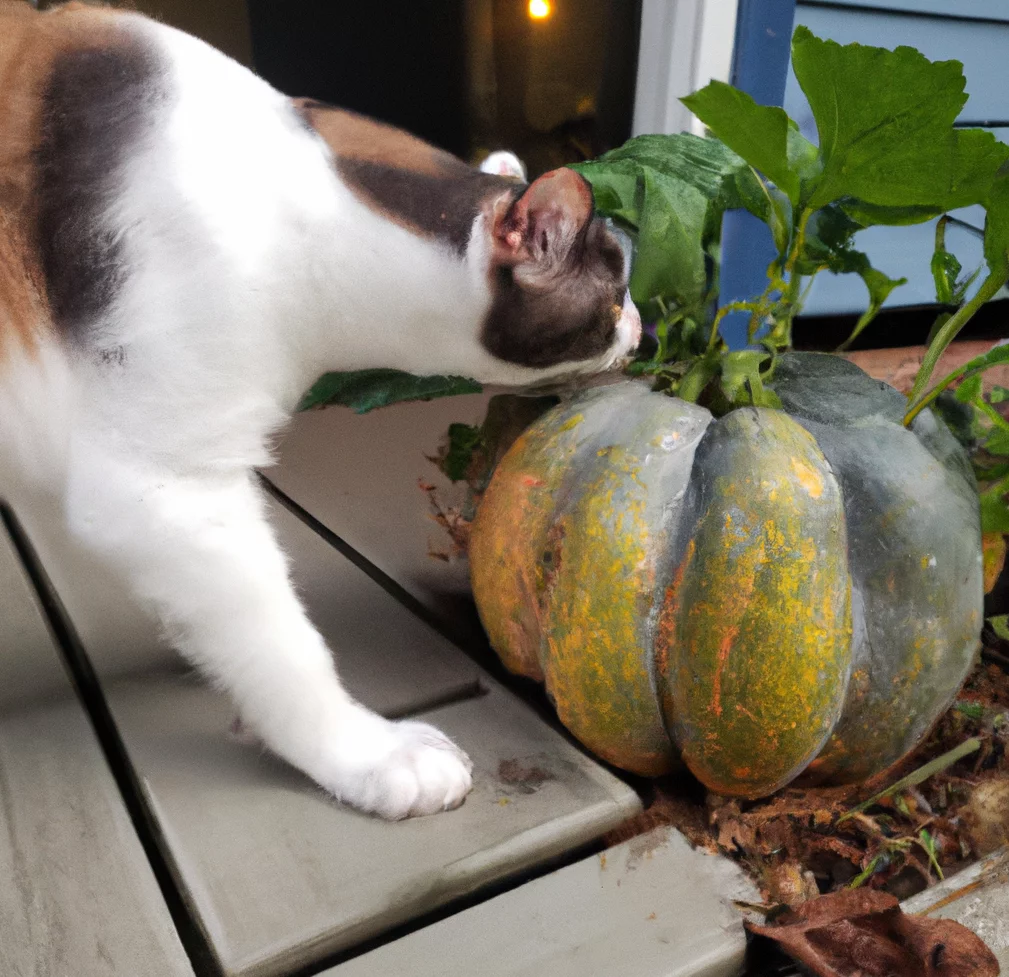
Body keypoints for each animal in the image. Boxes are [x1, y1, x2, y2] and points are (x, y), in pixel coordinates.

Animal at [0, 1, 641, 815]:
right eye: (613, 295)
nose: (645, 328)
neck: (311, 211)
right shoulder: (160, 485)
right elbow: (280, 640)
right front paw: (366, 753)